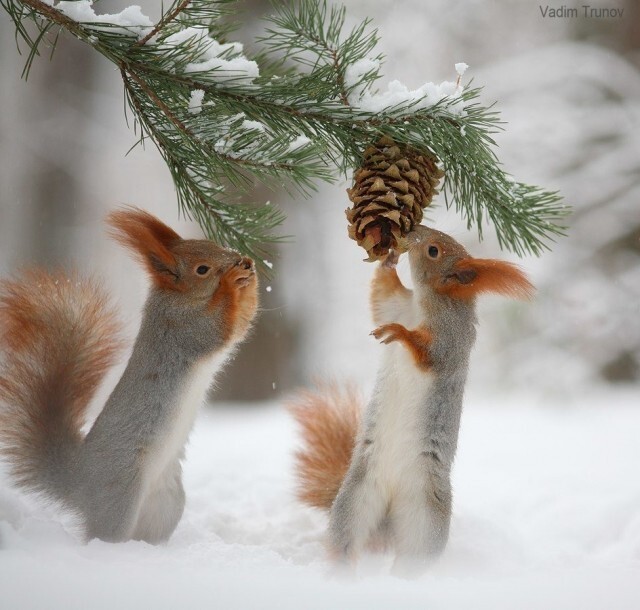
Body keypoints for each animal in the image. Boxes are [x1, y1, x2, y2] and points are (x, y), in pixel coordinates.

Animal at [0, 208, 258, 540]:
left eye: (213, 243)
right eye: (202, 269)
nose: (238, 259)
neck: (177, 299)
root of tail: (79, 484)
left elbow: (242, 324)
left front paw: (250, 277)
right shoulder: (185, 328)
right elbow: (220, 329)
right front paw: (232, 282)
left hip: (168, 501)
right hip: (121, 494)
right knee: (106, 534)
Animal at [288, 226, 532, 572]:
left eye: (433, 251)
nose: (413, 230)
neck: (422, 303)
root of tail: (389, 518)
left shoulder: (449, 340)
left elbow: (427, 354)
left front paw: (400, 333)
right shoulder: (396, 304)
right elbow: (380, 297)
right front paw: (388, 258)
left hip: (425, 518)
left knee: (414, 560)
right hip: (356, 499)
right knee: (346, 541)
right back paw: (341, 573)